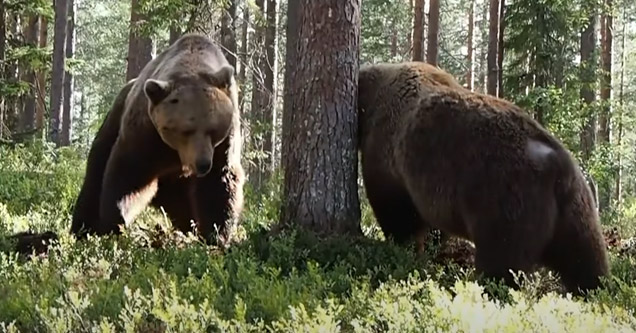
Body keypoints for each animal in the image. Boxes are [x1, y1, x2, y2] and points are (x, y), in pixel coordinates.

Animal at [71, 33, 245, 246]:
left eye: (213, 129)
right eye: (185, 130)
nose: (203, 164)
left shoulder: (226, 140)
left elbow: (221, 181)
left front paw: (216, 234)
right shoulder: (146, 133)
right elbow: (129, 172)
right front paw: (114, 221)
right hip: (113, 122)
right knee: (95, 174)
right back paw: (82, 229)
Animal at [358, 61, 612, 294]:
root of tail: (556, 161)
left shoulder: (389, 159)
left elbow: (397, 214)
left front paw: (404, 249)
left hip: (505, 197)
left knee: (502, 259)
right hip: (576, 209)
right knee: (585, 260)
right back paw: (593, 290)